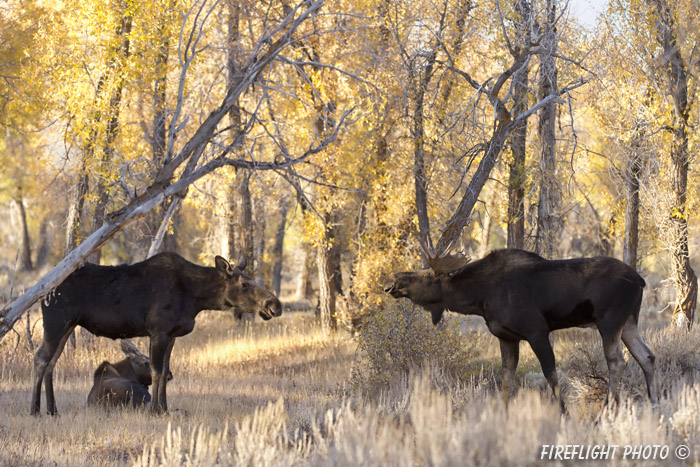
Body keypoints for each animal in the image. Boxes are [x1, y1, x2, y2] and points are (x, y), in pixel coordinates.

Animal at [31, 254, 280, 414]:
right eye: (244, 285)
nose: (274, 304)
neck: (196, 298)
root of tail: (40, 288)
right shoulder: (159, 331)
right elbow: (157, 371)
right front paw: (156, 410)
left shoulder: (171, 334)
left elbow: (165, 371)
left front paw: (164, 408)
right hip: (55, 323)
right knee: (40, 358)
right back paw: (35, 410)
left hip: (68, 326)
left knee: (51, 362)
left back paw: (53, 410)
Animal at [386, 247, 660, 412]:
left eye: (426, 276)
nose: (394, 281)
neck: (479, 298)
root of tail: (640, 280)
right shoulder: (507, 338)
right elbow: (507, 378)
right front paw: (504, 411)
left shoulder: (537, 331)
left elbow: (550, 374)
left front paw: (563, 412)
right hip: (629, 323)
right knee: (647, 356)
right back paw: (654, 403)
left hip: (609, 321)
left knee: (618, 362)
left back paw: (607, 409)